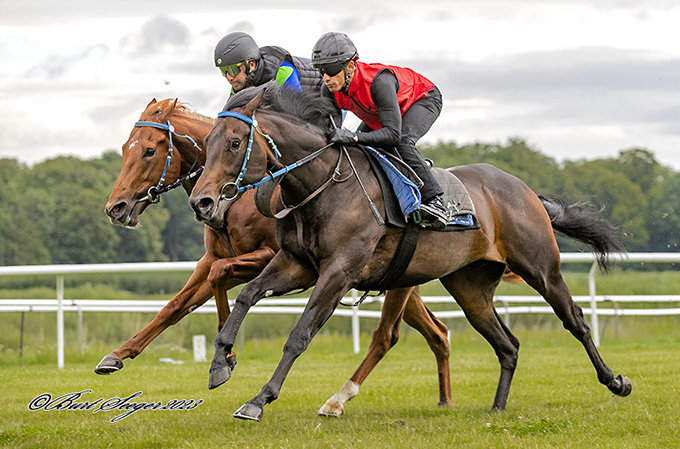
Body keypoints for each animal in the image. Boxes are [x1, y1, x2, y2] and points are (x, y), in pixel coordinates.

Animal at [95, 98, 454, 412]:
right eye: (125, 148)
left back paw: (339, 401)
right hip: (397, 280)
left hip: (396, 282)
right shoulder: (211, 258)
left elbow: (220, 276)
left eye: (149, 150)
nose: (115, 208)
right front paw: (117, 355)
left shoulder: (267, 256)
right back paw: (444, 398)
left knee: (387, 335)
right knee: (437, 332)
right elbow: (176, 305)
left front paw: (228, 357)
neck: (236, 198)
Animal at [187, 83, 632, 420]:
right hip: (469, 287)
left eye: (234, 143)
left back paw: (615, 380)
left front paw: (259, 400)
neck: (326, 184)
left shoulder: (338, 272)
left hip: (541, 268)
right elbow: (248, 294)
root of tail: (524, 189)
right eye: (207, 142)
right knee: (508, 345)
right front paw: (220, 363)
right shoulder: (297, 264)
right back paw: (497, 408)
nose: (201, 203)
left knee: (575, 321)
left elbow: (300, 334)